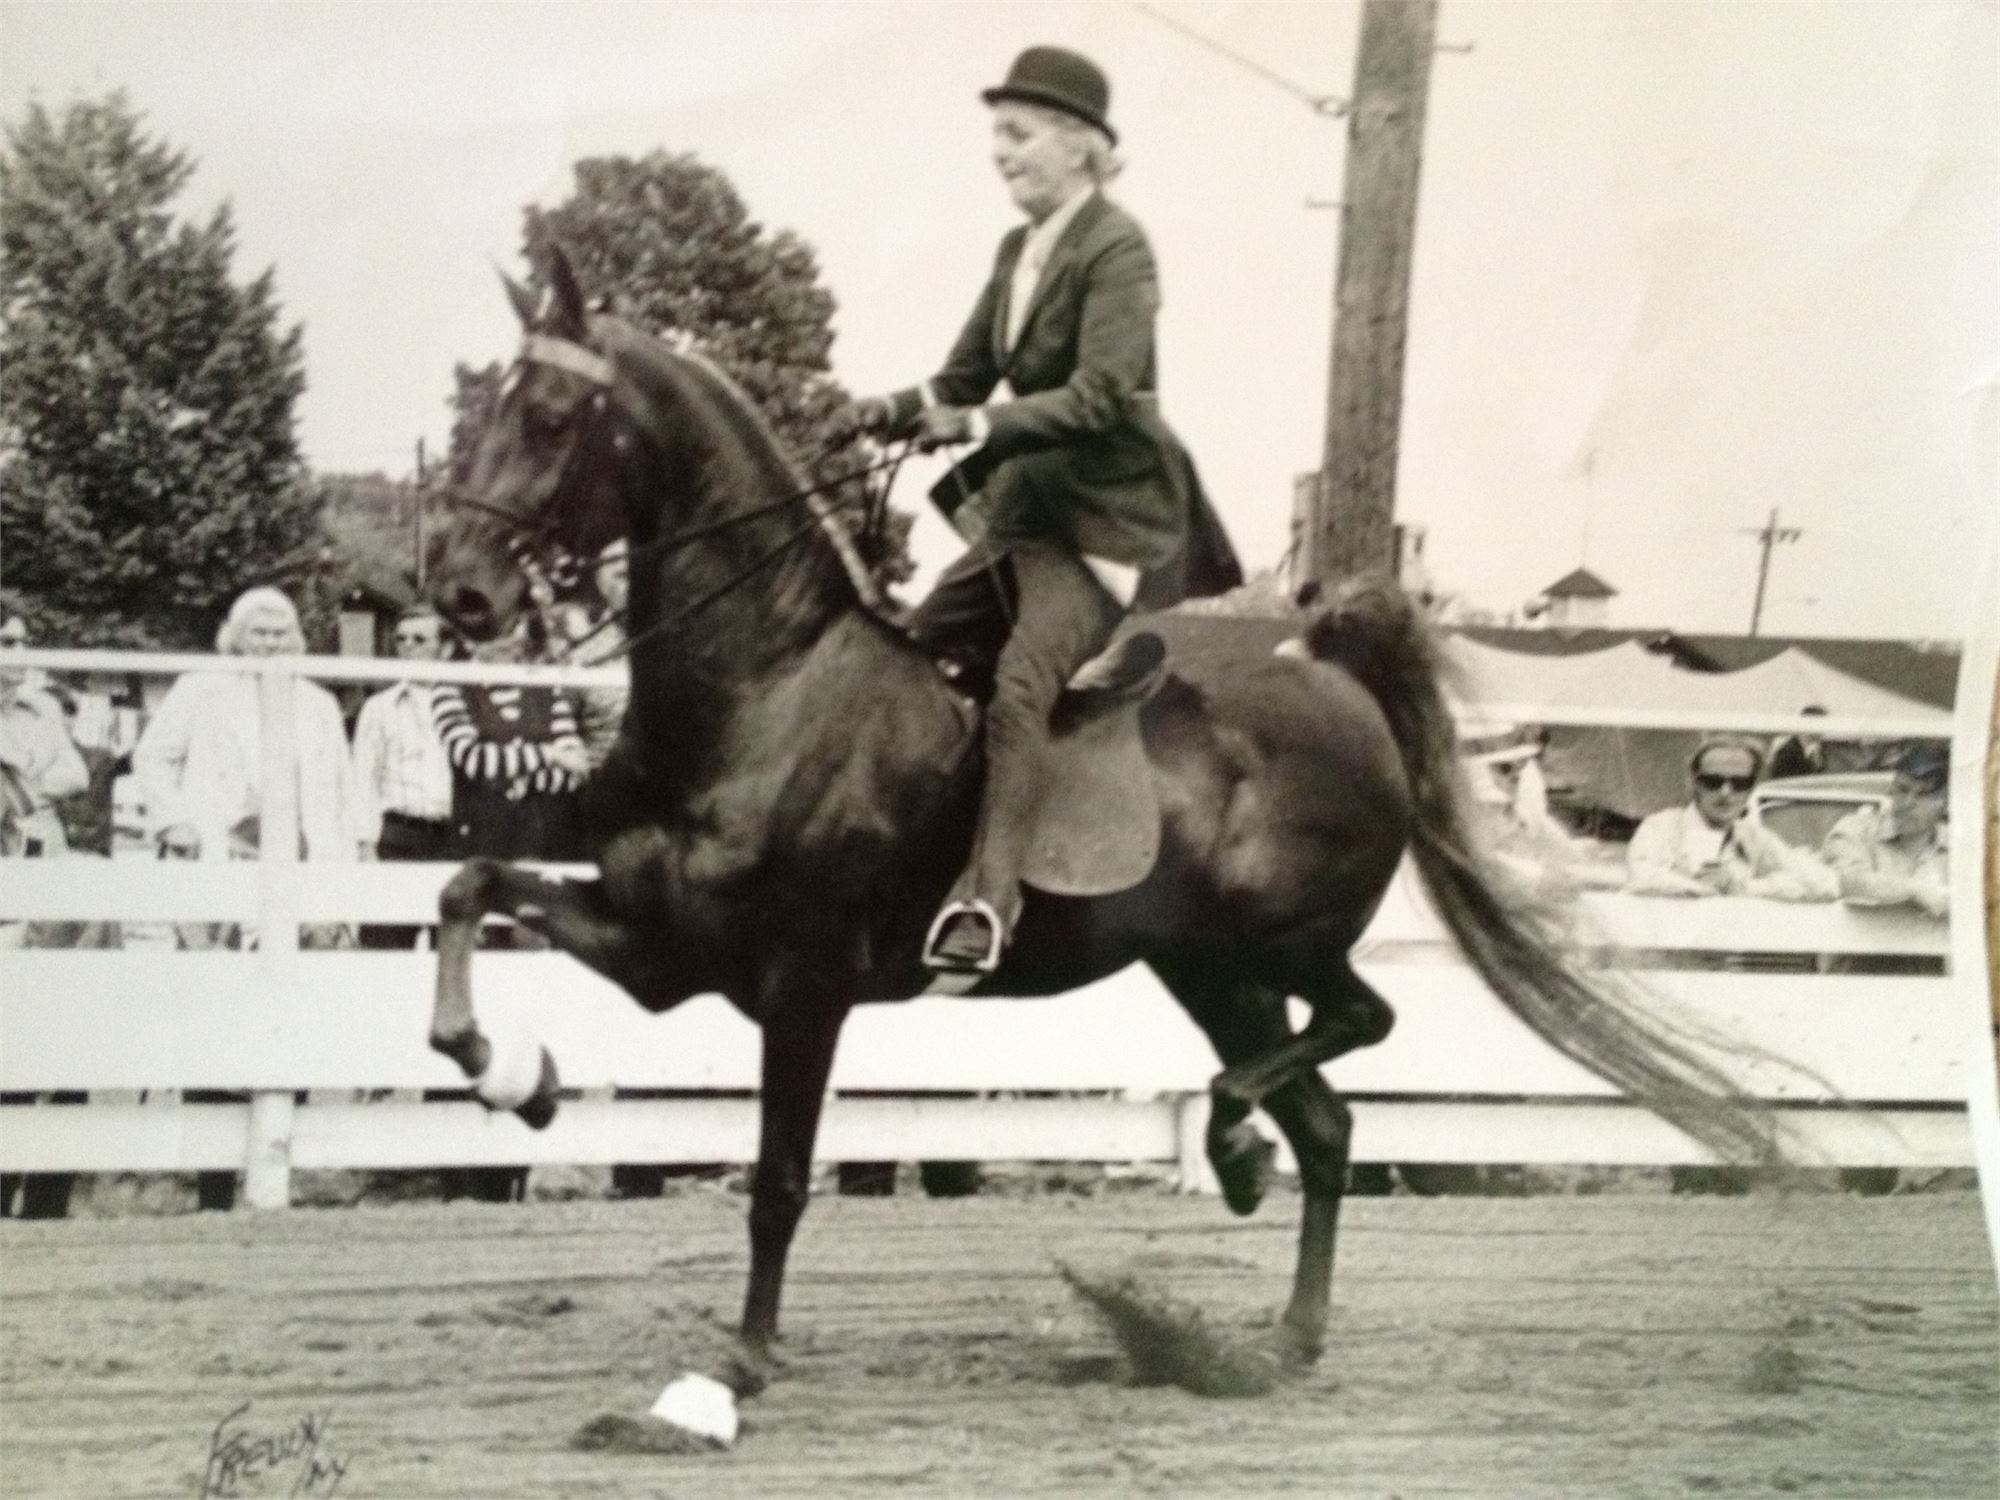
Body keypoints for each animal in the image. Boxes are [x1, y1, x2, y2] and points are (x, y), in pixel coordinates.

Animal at [425, 246, 1775, 1442]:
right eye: (488, 409)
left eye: (551, 416)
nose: (462, 596)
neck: (770, 688)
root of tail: (1328, 675)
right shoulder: (659, 950)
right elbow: (466, 888)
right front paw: (511, 1076)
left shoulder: (801, 991)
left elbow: (777, 1183)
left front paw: (740, 1368)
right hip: (1210, 972)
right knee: (1328, 1124)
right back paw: (1284, 1323)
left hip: (1277, 949)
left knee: (1357, 1029)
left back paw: (1231, 1155)